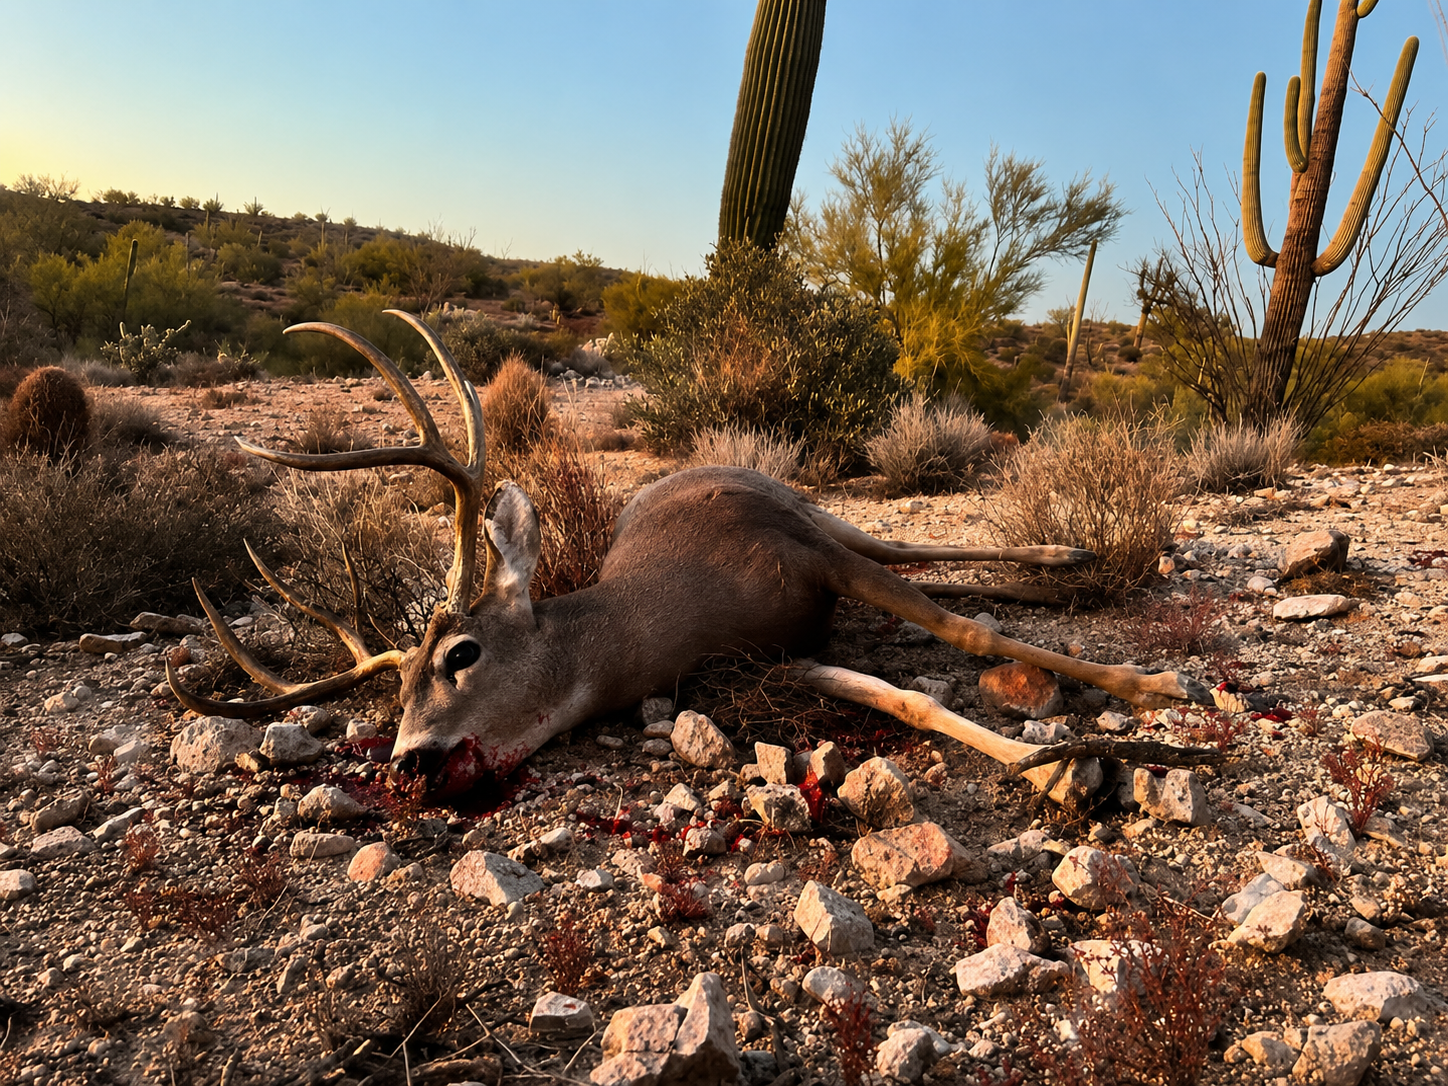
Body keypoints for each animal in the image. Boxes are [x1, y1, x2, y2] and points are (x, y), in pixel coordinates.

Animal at [168, 312, 1209, 803]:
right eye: (397, 690)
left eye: (461, 654)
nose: (410, 764)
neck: (662, 613)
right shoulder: (763, 660)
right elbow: (899, 695)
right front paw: (1059, 767)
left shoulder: (805, 559)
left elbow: (965, 633)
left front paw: (1148, 691)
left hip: (819, 517)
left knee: (917, 544)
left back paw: (1069, 551)